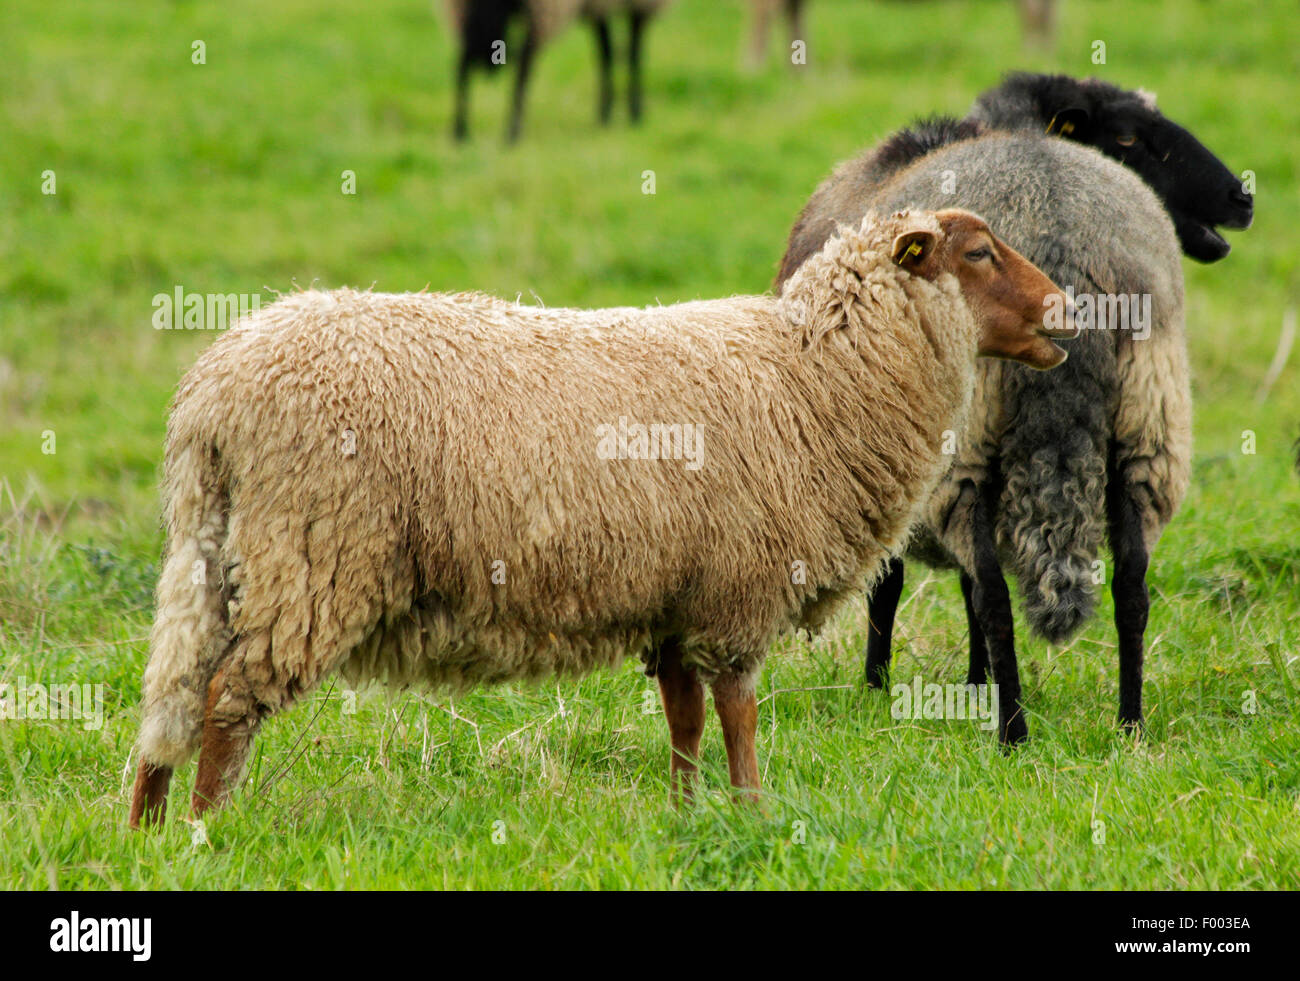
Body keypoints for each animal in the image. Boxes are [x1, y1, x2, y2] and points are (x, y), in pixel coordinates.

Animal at [129, 209, 1076, 826]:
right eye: (981, 252)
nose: (1068, 309)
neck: (811, 378)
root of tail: (212, 396)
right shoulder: (737, 591)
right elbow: (738, 714)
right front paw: (753, 811)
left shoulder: (680, 599)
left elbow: (685, 718)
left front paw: (686, 817)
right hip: (311, 554)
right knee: (225, 697)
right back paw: (208, 832)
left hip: (217, 550)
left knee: (173, 690)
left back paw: (147, 829)